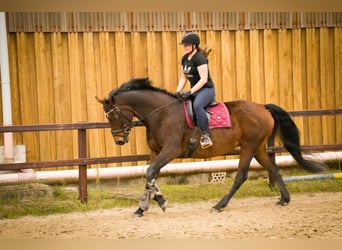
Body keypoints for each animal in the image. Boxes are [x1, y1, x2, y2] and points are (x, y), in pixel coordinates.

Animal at [95, 77, 326, 217]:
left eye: (113, 115)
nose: (119, 140)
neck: (160, 113)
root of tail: (262, 107)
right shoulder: (155, 152)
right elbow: (149, 176)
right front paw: (142, 208)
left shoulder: (170, 151)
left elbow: (151, 173)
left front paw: (159, 202)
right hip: (259, 148)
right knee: (274, 169)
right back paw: (284, 199)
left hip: (249, 147)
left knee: (241, 176)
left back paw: (219, 205)